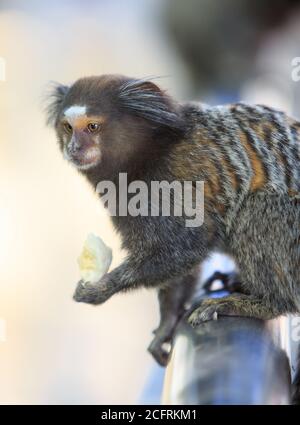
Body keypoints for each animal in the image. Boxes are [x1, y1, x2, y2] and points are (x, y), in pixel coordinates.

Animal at [45, 75, 298, 364]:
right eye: (67, 127)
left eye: (92, 126)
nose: (74, 147)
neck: (145, 155)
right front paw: (167, 323)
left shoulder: (171, 184)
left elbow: (186, 246)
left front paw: (103, 287)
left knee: (257, 207)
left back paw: (263, 304)